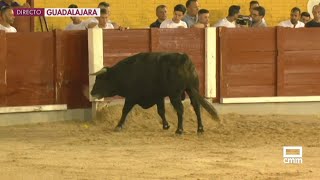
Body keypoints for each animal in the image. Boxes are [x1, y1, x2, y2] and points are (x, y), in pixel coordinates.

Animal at [90, 52, 220, 134]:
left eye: (100, 80)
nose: (91, 93)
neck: (124, 73)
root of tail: (184, 60)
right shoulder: (158, 96)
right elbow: (161, 111)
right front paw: (166, 125)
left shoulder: (131, 97)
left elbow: (125, 110)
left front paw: (118, 126)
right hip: (192, 90)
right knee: (196, 107)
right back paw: (200, 129)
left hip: (175, 95)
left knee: (180, 109)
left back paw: (179, 130)